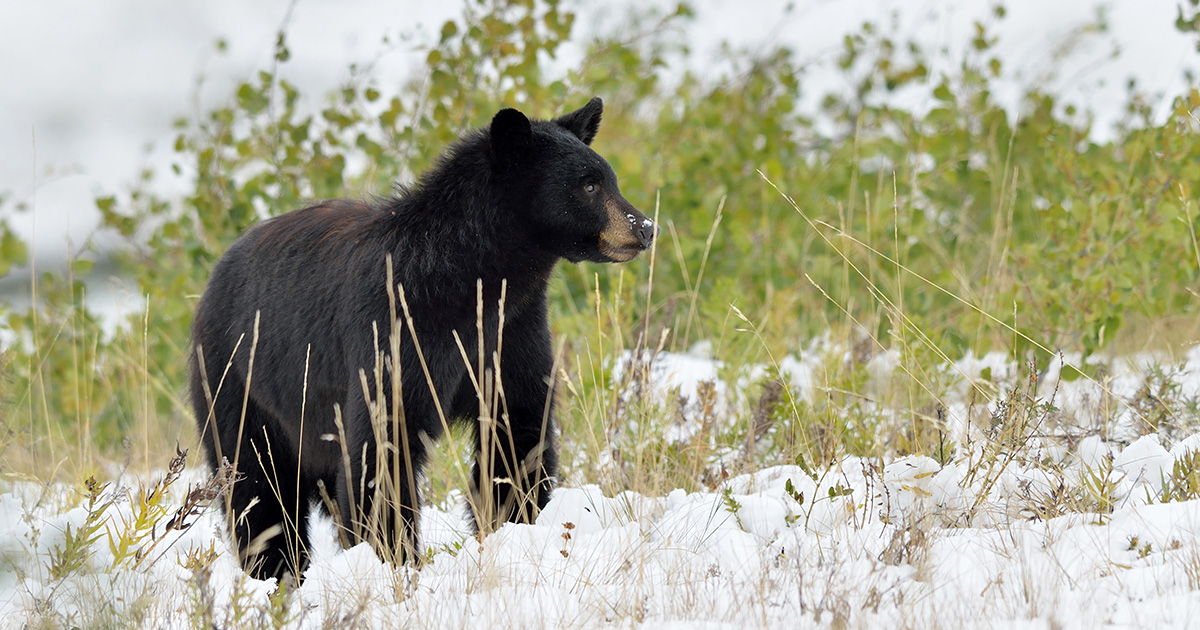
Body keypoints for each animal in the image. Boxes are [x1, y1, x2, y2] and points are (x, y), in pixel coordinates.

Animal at [189, 97, 655, 581]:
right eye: (588, 185)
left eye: (609, 179)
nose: (644, 227)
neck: (471, 278)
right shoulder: (397, 326)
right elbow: (383, 444)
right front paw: (394, 561)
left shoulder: (512, 330)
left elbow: (516, 426)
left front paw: (512, 522)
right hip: (241, 383)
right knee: (258, 488)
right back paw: (275, 573)